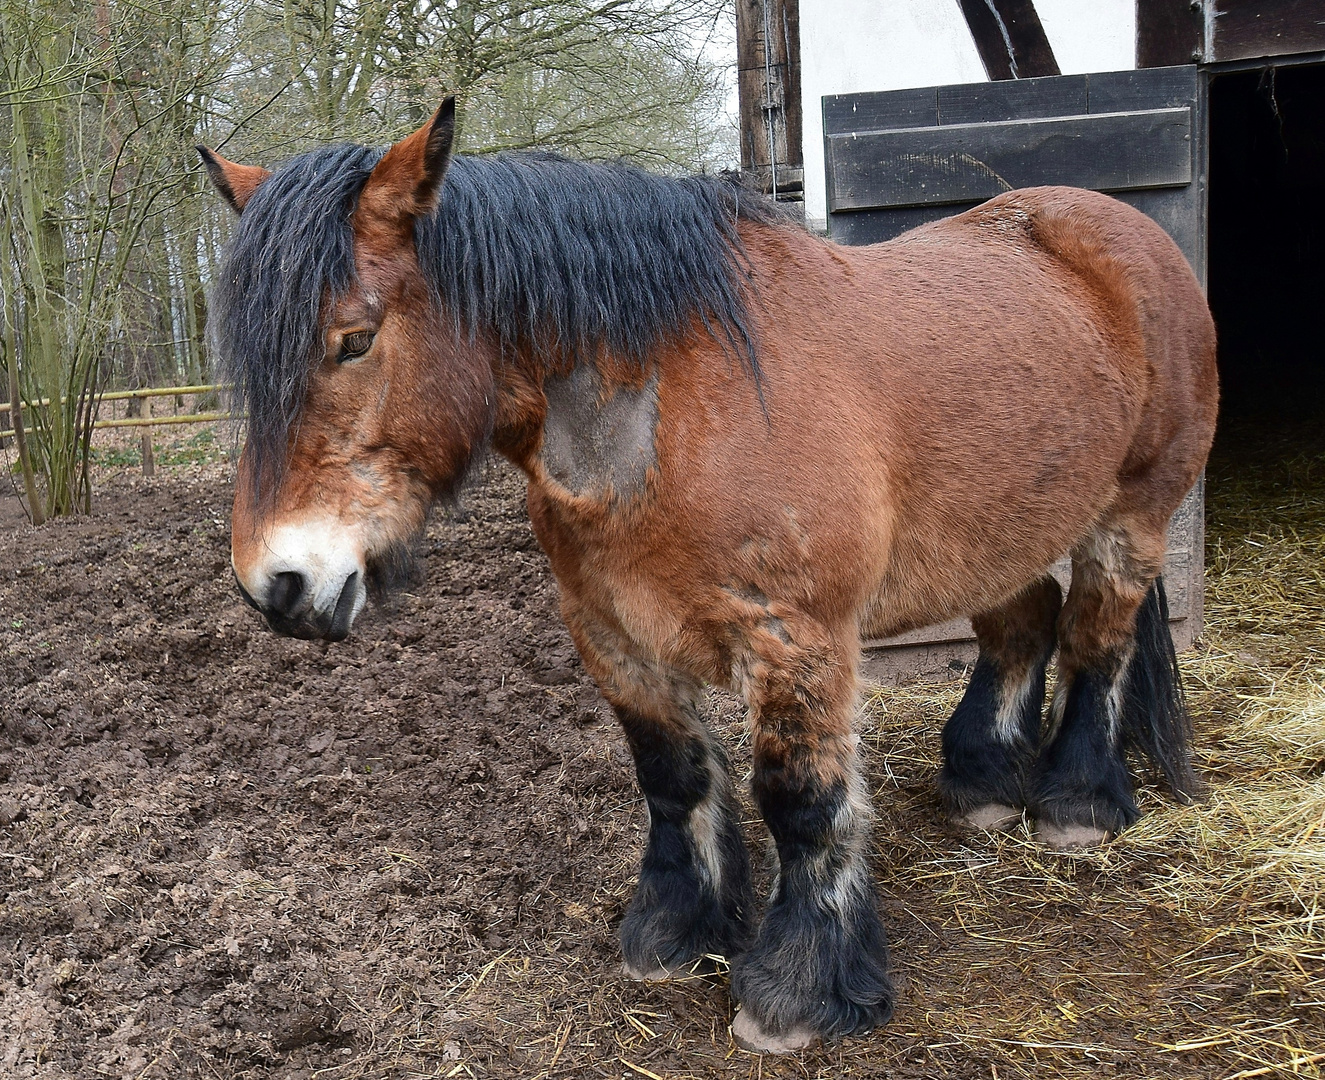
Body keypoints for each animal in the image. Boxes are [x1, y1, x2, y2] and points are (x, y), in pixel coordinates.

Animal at [198, 99, 1219, 1054]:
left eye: (354, 339)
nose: (275, 585)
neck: (672, 410)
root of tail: (1119, 231)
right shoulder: (610, 631)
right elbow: (673, 775)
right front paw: (674, 932)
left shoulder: (796, 637)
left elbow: (803, 801)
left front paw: (797, 988)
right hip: (996, 529)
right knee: (1023, 625)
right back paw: (982, 783)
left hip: (1130, 515)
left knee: (1096, 639)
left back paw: (1076, 802)